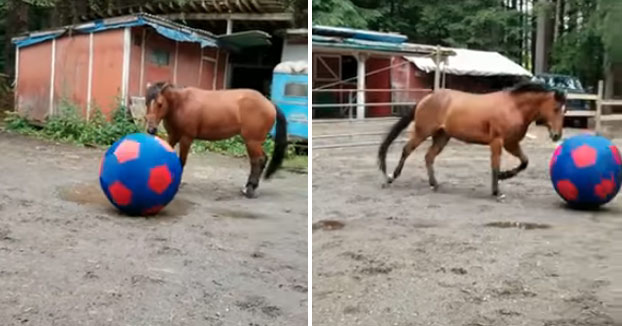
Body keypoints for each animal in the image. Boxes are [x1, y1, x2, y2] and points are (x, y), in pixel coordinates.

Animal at [147, 81, 290, 199]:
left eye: (160, 104)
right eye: (147, 103)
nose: (151, 129)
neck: (181, 103)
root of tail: (269, 103)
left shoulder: (186, 138)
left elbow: (181, 161)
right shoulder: (173, 136)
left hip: (252, 141)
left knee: (258, 161)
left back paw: (249, 189)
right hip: (255, 142)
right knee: (262, 159)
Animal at [378, 81, 568, 199]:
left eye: (564, 110)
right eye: (556, 108)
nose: (557, 135)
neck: (514, 107)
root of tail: (426, 99)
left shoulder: (511, 143)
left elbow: (524, 162)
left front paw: (504, 176)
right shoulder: (498, 142)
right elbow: (495, 165)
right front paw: (497, 191)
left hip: (442, 137)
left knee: (429, 157)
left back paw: (434, 184)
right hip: (422, 132)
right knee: (407, 150)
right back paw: (390, 178)